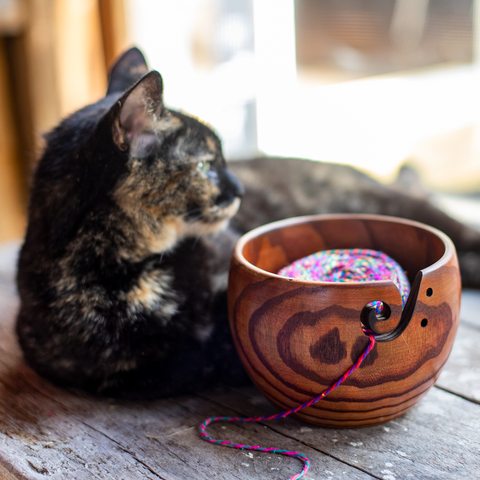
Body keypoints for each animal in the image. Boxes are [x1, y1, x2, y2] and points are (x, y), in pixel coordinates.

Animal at [16, 48, 480, 400]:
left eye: (222, 158)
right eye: (206, 165)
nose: (238, 187)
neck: (123, 272)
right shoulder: (114, 368)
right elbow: (191, 358)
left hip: (393, 204)